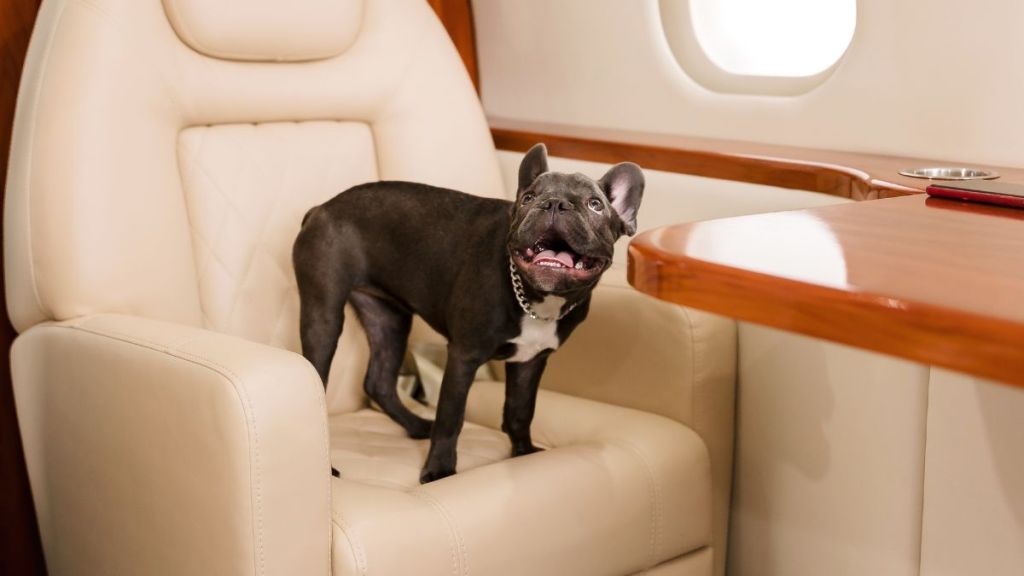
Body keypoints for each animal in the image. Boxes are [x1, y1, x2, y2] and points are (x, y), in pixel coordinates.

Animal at [294, 142, 638, 479]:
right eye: (528, 198)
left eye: (595, 205)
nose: (554, 204)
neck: (535, 298)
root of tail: (321, 208)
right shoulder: (464, 356)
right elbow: (451, 417)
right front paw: (439, 470)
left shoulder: (530, 361)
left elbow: (520, 411)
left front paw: (524, 454)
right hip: (324, 316)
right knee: (319, 379)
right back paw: (328, 468)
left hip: (389, 319)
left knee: (378, 381)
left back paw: (416, 425)